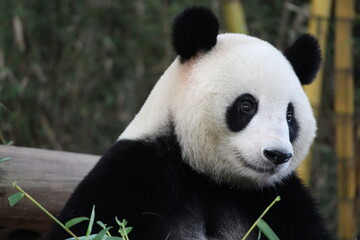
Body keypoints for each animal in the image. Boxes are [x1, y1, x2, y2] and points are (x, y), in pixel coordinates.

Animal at [44, 5, 332, 240]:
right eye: (247, 106)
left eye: (290, 116)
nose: (277, 155)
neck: (211, 179)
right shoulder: (133, 174)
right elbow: (86, 224)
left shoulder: (279, 204)